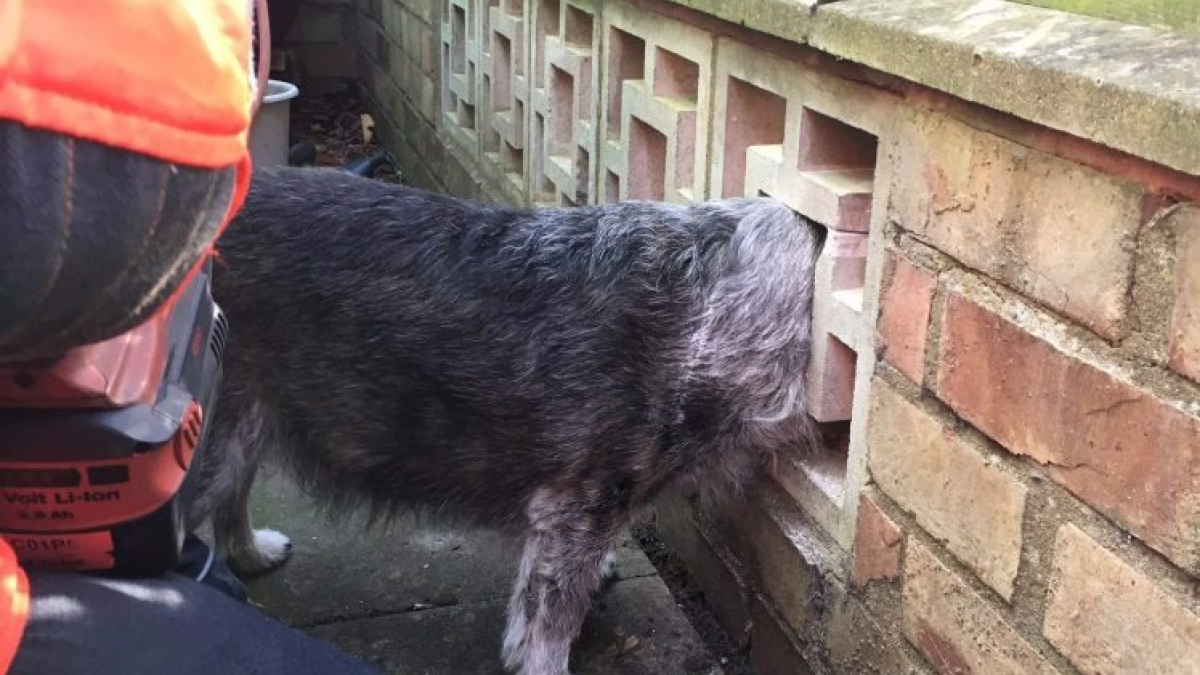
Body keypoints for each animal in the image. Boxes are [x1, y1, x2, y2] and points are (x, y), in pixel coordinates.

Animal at [199, 165, 825, 672]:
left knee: (231, 498)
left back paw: (252, 555)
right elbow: (550, 618)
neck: (704, 303)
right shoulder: (580, 504)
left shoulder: (563, 515)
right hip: (219, 425)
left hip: (245, 421)